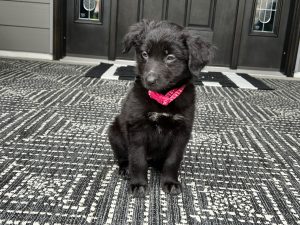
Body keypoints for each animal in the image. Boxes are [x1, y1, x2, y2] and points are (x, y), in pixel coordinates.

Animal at [108, 20, 211, 197]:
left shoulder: (182, 131)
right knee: (123, 156)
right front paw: (138, 184)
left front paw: (170, 182)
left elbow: (173, 160)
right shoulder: (137, 128)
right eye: (144, 54)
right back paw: (126, 168)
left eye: (170, 57)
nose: (149, 80)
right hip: (114, 132)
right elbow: (138, 159)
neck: (163, 98)